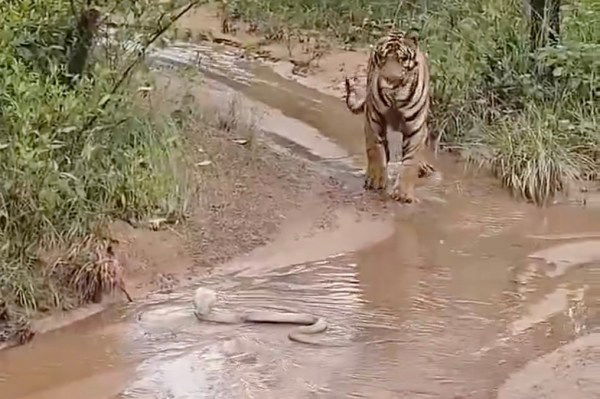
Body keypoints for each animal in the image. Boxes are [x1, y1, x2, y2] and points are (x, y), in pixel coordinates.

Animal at [344, 29, 438, 203]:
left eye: (402, 59)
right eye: (382, 57)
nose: (389, 78)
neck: (396, 97)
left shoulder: (416, 128)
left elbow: (410, 161)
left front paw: (403, 194)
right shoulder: (374, 119)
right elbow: (375, 149)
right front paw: (375, 180)